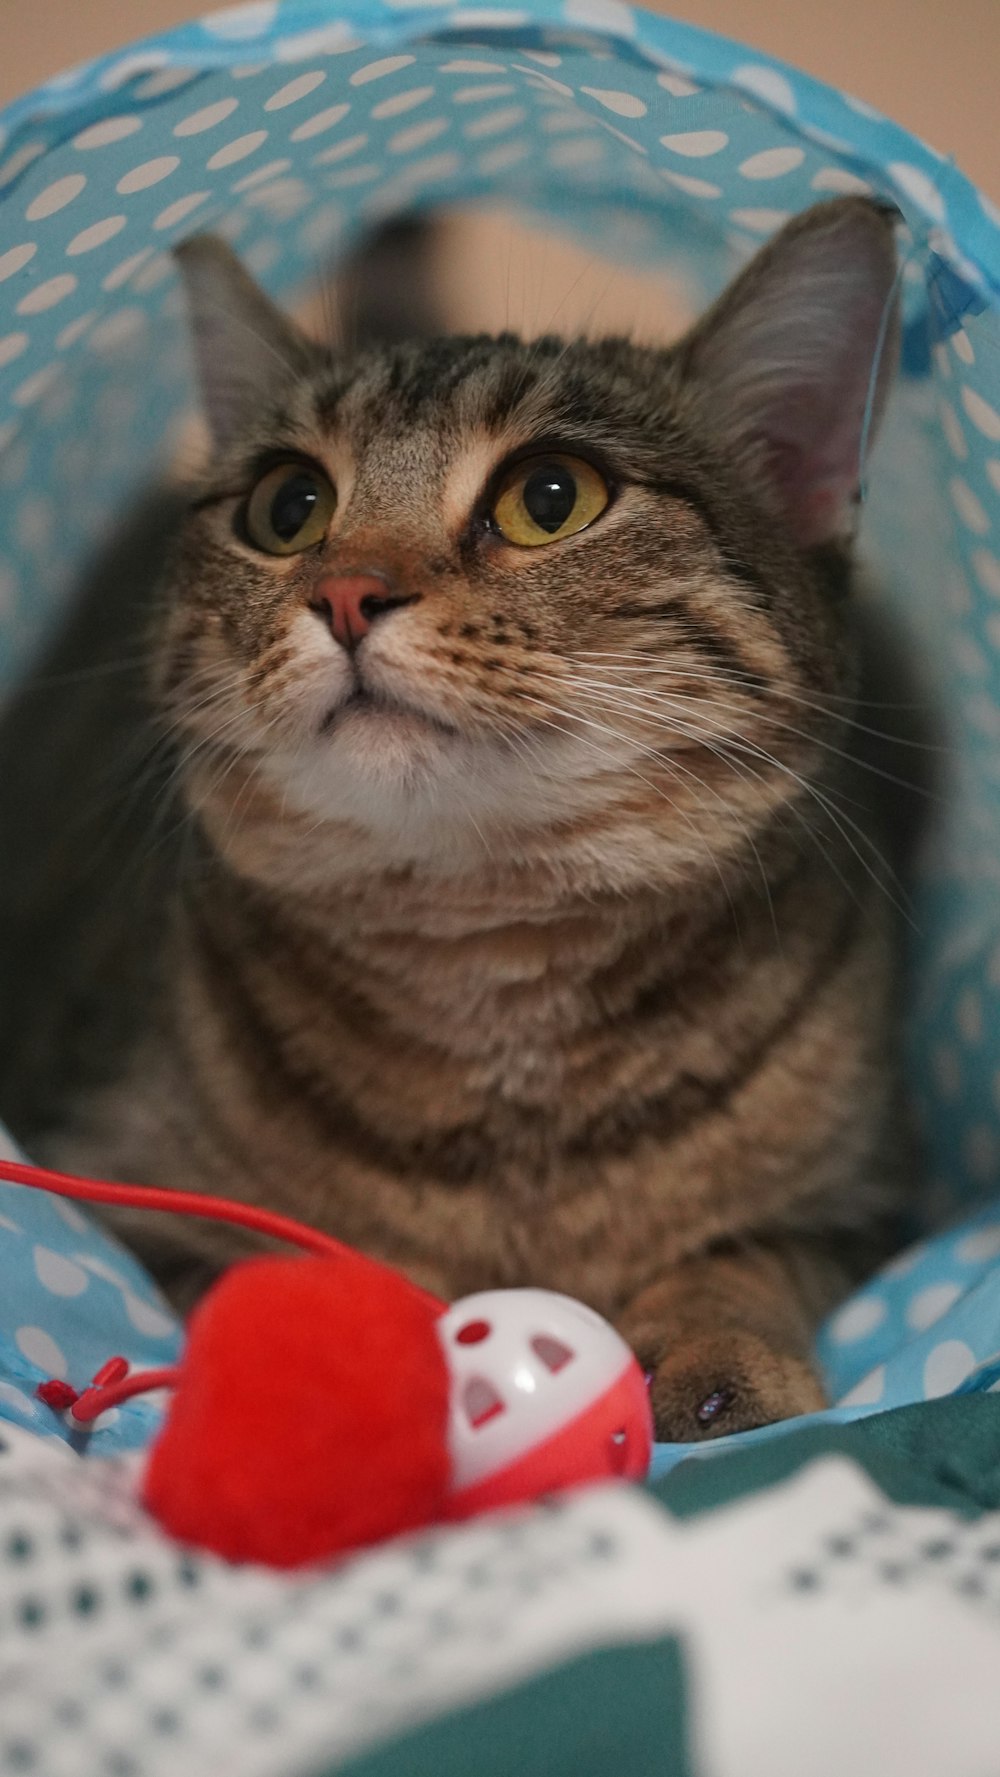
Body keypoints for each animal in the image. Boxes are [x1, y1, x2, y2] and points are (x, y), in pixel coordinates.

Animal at [0, 198, 909, 1442]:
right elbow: (259, 1273)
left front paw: (720, 1353)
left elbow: (750, 1253)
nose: (344, 592)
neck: (495, 962)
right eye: (288, 506)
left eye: (550, 496)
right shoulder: (119, 1199)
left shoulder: (873, 1200)